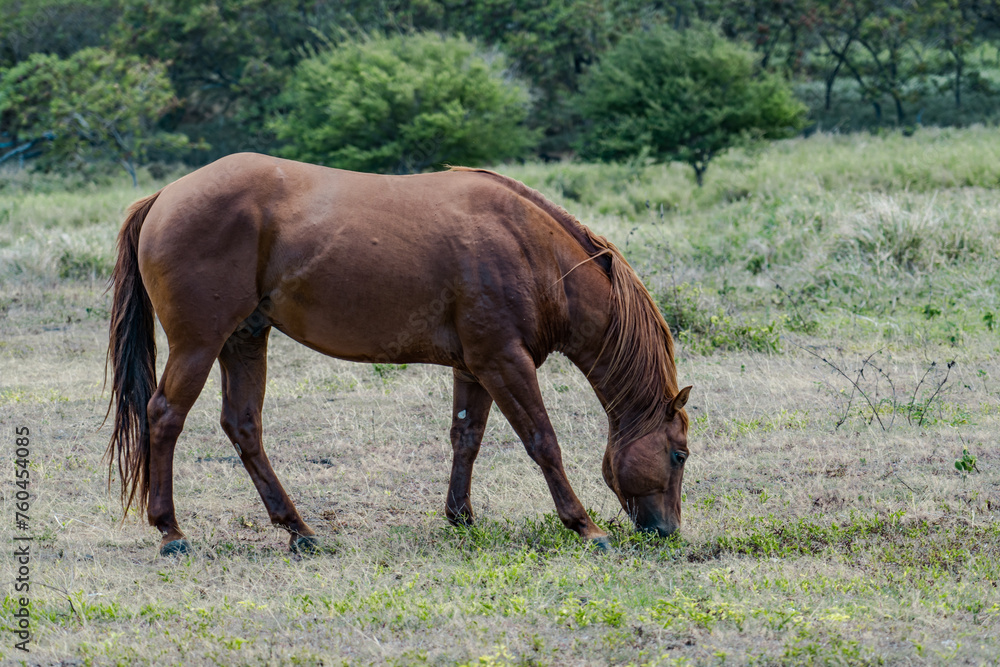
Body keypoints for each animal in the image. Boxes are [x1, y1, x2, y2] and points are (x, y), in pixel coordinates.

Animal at [106, 153, 692, 556]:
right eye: (679, 454)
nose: (666, 532)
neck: (529, 249)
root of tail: (165, 196)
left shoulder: (476, 368)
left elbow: (466, 438)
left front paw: (460, 516)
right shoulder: (505, 363)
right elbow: (543, 442)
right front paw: (585, 526)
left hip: (244, 340)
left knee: (243, 426)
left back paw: (298, 530)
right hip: (199, 344)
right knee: (165, 417)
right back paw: (171, 531)